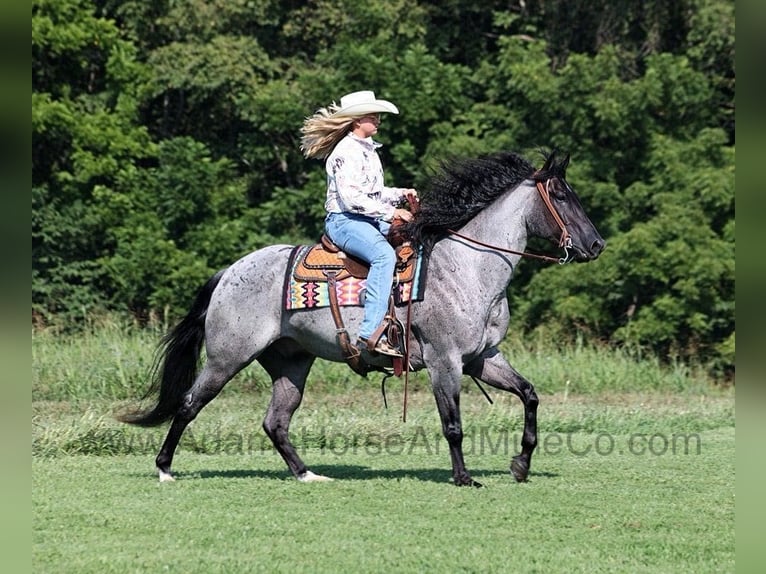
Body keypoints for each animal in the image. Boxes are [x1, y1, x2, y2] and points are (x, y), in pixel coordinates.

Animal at [118, 151, 608, 488]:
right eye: (560, 196)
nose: (596, 245)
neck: (468, 268)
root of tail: (228, 272)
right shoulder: (445, 361)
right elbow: (453, 424)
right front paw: (464, 477)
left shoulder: (483, 357)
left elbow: (530, 395)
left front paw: (521, 464)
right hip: (226, 358)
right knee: (188, 404)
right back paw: (164, 470)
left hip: (291, 363)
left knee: (276, 421)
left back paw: (307, 475)